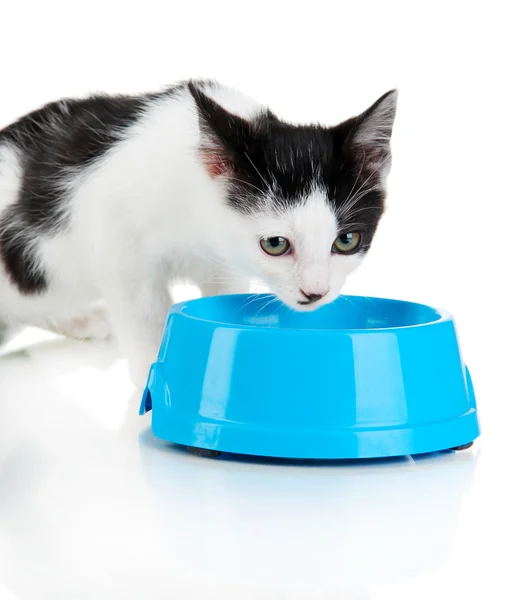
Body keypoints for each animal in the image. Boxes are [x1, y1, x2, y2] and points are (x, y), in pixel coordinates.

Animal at [0, 79, 398, 386]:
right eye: (275, 244)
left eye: (346, 240)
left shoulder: (225, 262)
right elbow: (143, 313)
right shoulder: (115, 240)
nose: (315, 293)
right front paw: (152, 385)